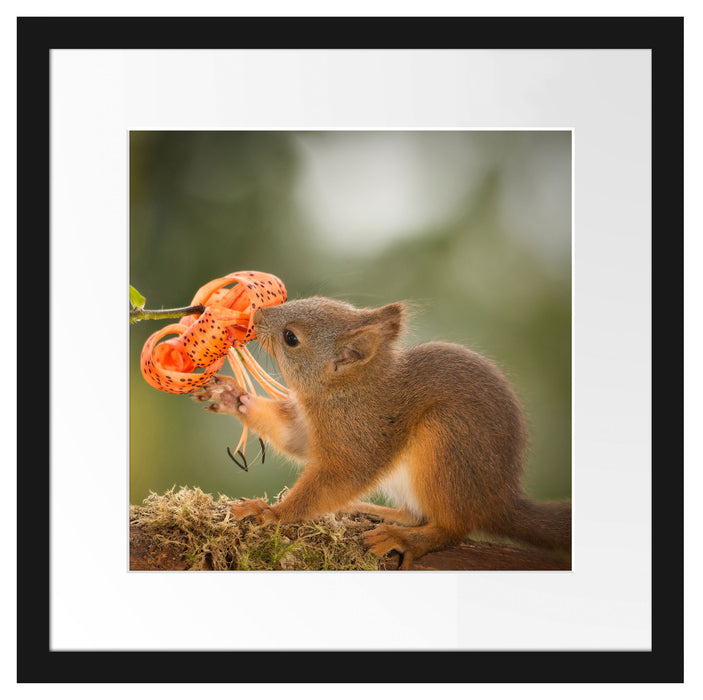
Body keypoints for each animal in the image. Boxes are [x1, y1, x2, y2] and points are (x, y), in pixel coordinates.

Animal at [194, 296, 571, 569]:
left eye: (291, 338)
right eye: (312, 298)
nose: (256, 315)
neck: (346, 391)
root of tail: (499, 502)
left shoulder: (361, 436)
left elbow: (337, 479)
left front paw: (271, 514)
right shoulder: (313, 430)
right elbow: (295, 440)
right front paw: (233, 397)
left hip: (446, 442)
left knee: (451, 527)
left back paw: (405, 538)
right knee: (415, 514)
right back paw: (371, 511)